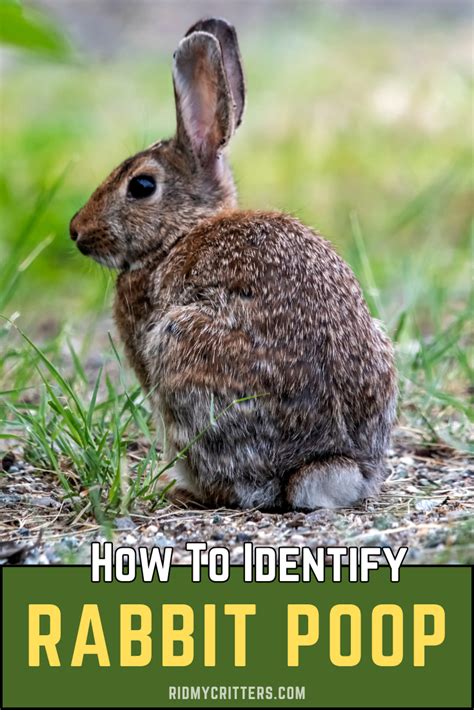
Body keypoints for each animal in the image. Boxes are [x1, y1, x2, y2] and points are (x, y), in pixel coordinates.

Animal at [70, 17, 397, 511]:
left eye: (141, 186)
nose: (77, 232)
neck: (178, 234)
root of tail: (323, 461)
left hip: (182, 352)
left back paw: (179, 490)